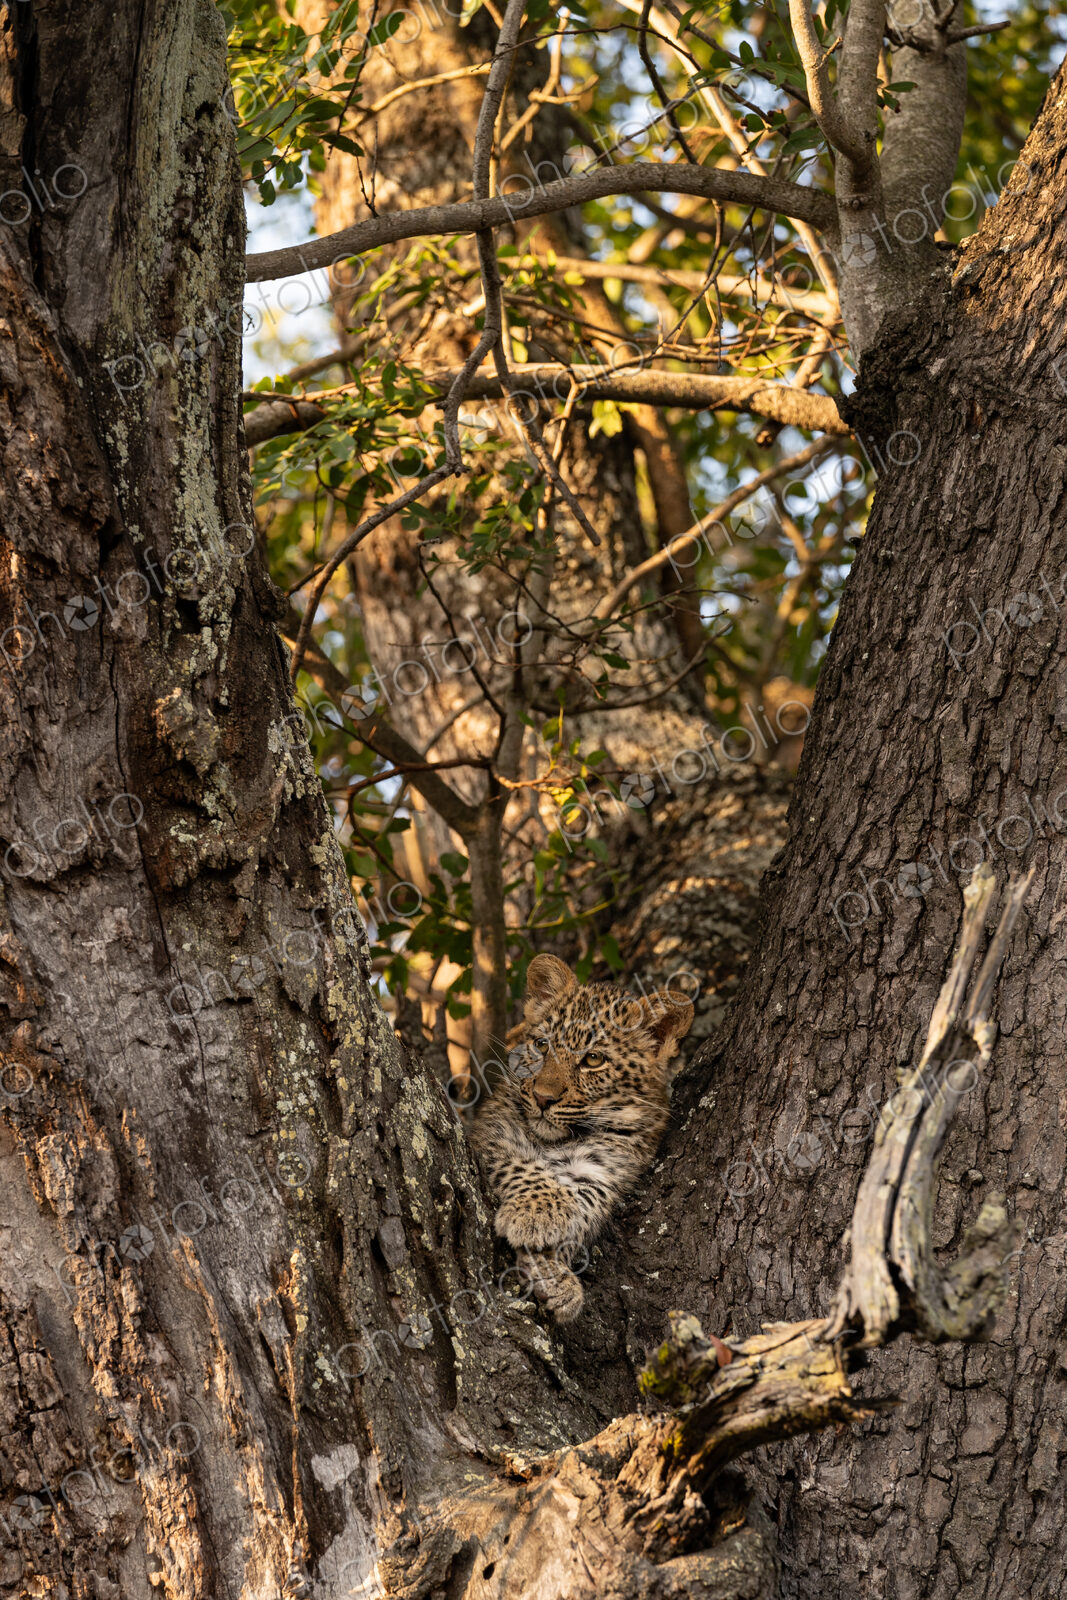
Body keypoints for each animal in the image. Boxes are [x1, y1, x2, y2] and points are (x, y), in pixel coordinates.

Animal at [470, 953, 694, 1323]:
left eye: (593, 1059)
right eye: (542, 1045)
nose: (544, 1098)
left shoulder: (609, 1169)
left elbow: (586, 1204)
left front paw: (553, 1274)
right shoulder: (495, 1131)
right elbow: (524, 1167)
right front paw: (537, 1212)